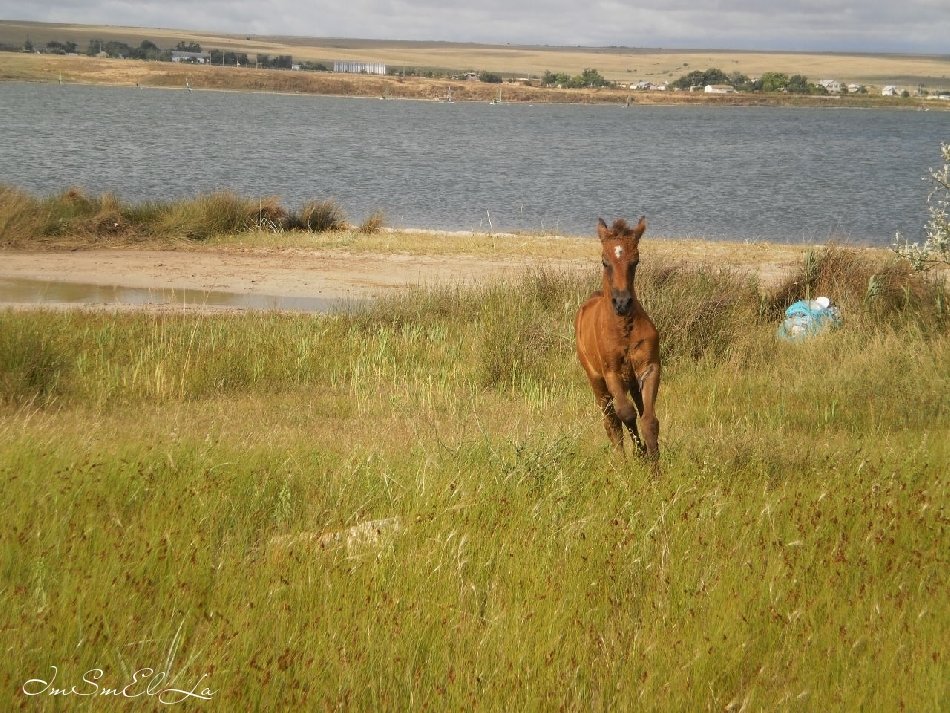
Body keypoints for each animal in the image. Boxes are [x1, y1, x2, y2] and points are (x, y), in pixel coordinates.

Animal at [572, 214, 660, 464]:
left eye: (636, 261)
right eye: (605, 261)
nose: (622, 303)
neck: (623, 330)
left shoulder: (650, 367)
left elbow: (649, 420)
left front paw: (654, 463)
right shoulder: (611, 372)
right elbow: (626, 414)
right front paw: (639, 455)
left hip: (632, 381)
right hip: (597, 381)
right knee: (611, 421)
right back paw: (621, 460)